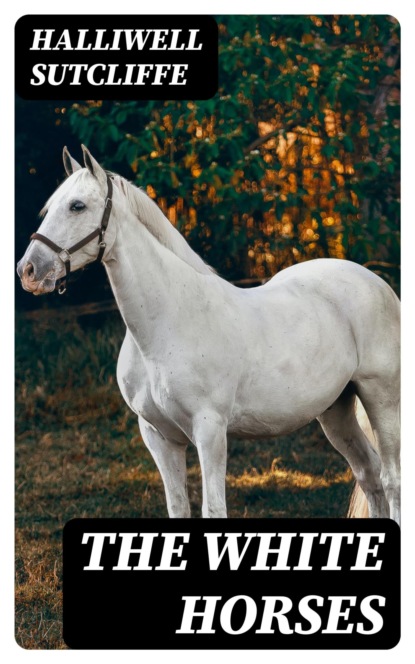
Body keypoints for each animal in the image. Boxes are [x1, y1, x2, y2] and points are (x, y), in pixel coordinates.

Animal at [17, 146, 401, 523]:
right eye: (50, 207)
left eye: (77, 205)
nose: (29, 271)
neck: (166, 326)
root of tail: (375, 282)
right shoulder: (159, 437)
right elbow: (178, 508)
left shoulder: (210, 430)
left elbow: (214, 509)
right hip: (335, 410)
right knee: (368, 474)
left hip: (381, 398)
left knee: (390, 479)